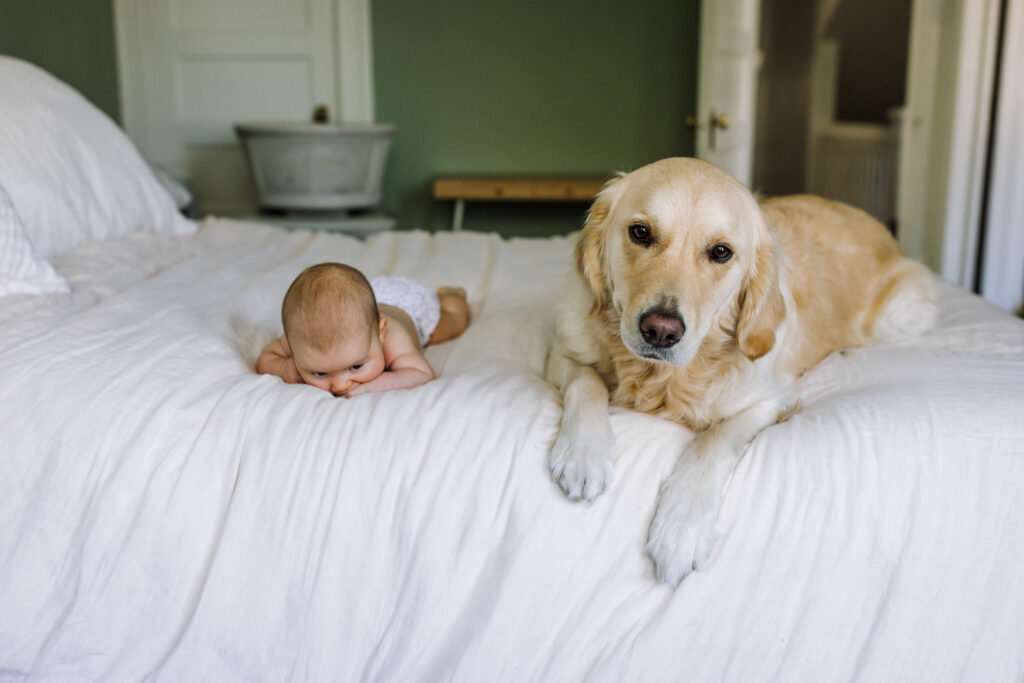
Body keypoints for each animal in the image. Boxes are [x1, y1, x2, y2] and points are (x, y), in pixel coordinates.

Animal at [548, 157, 937, 585]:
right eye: (640, 232)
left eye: (721, 252)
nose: (661, 330)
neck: (663, 378)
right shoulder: (562, 351)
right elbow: (588, 382)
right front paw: (584, 452)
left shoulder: (769, 400)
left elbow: (714, 441)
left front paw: (681, 526)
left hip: (898, 318)